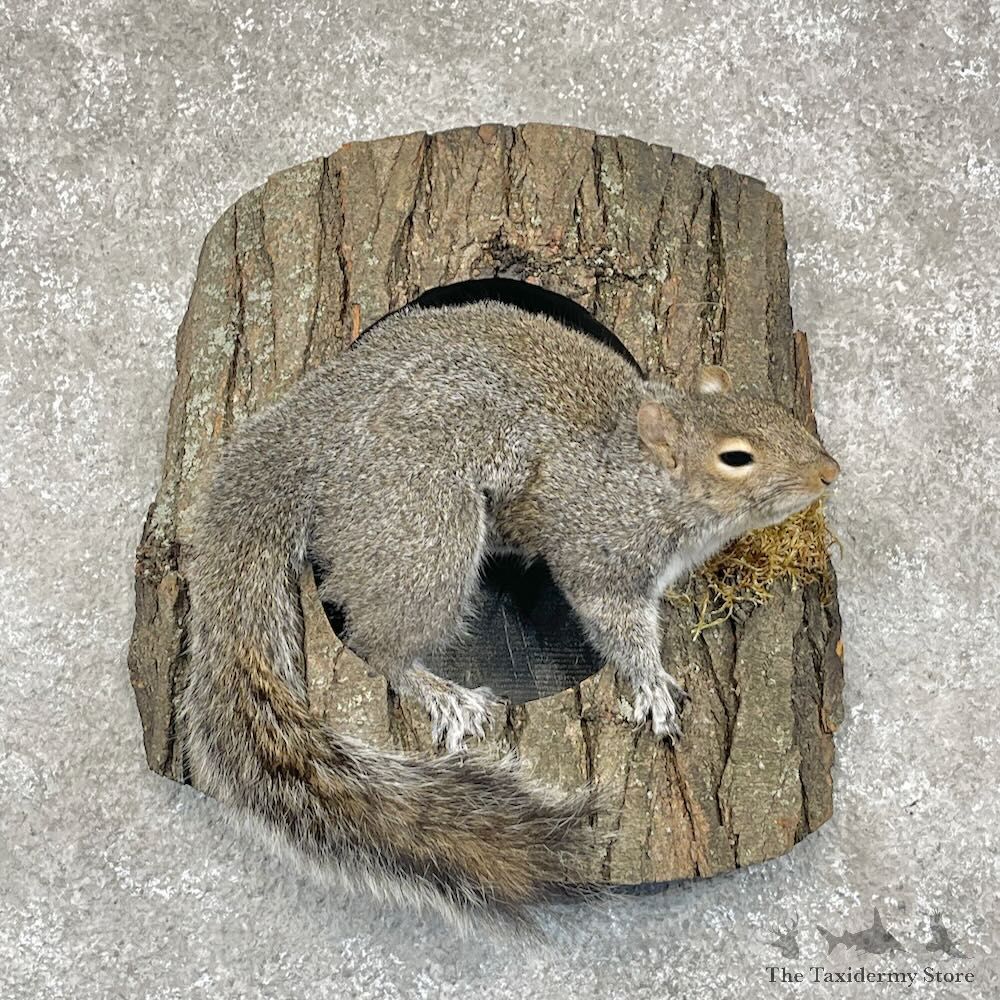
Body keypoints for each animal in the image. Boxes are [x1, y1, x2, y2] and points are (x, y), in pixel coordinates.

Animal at [179, 299, 840, 929]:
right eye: (736, 458)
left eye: (782, 412)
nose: (829, 472)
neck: (638, 475)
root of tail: (310, 432)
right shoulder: (597, 549)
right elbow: (614, 621)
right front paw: (652, 683)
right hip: (424, 533)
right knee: (376, 641)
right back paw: (438, 691)